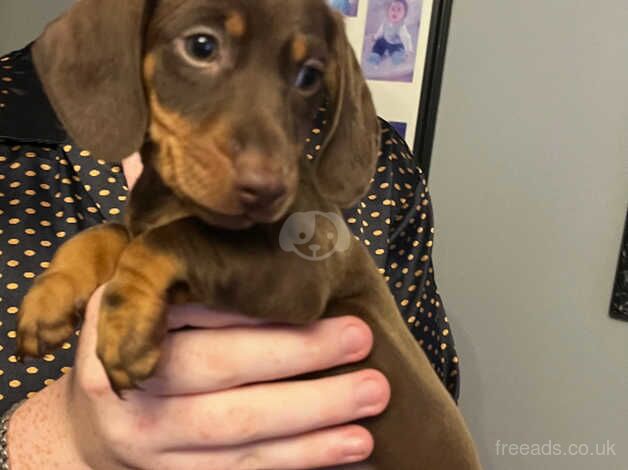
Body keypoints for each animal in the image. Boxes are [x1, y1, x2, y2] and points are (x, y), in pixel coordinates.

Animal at [18, 1, 480, 468]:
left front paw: (128, 319)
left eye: (309, 75)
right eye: (201, 46)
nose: (269, 190)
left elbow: (169, 239)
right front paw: (52, 295)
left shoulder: (298, 277)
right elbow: (104, 234)